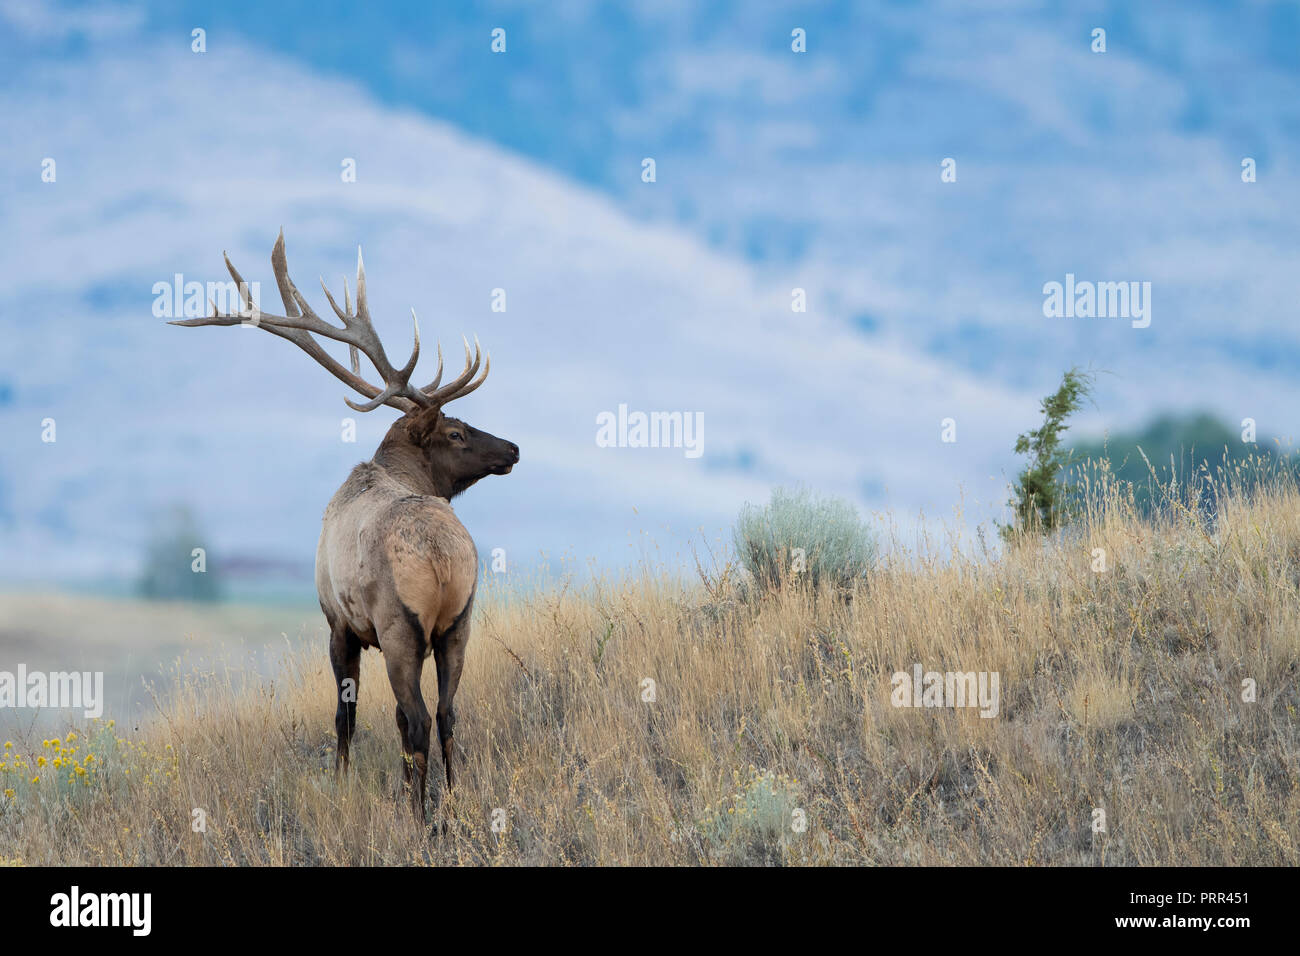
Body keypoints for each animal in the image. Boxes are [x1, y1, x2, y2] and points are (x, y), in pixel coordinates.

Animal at [171, 231, 519, 821]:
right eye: (455, 432)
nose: (513, 448)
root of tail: (443, 557)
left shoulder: (338, 622)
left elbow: (345, 716)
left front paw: (341, 784)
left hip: (401, 627)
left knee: (418, 718)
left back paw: (421, 819)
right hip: (460, 621)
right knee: (445, 713)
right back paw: (450, 805)